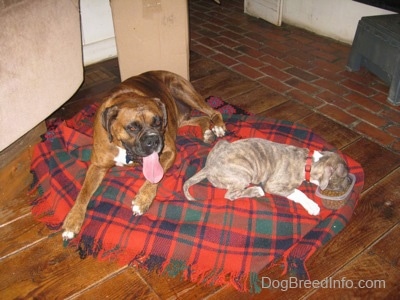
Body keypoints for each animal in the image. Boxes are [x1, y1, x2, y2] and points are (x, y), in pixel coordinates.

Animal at [62, 69, 225, 239]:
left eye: (158, 122)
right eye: (132, 128)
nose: (153, 139)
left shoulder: (169, 151)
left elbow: (154, 177)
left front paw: (142, 200)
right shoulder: (97, 166)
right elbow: (83, 192)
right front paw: (72, 220)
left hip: (182, 90)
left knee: (212, 112)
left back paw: (218, 127)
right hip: (178, 119)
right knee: (202, 118)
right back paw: (207, 132)